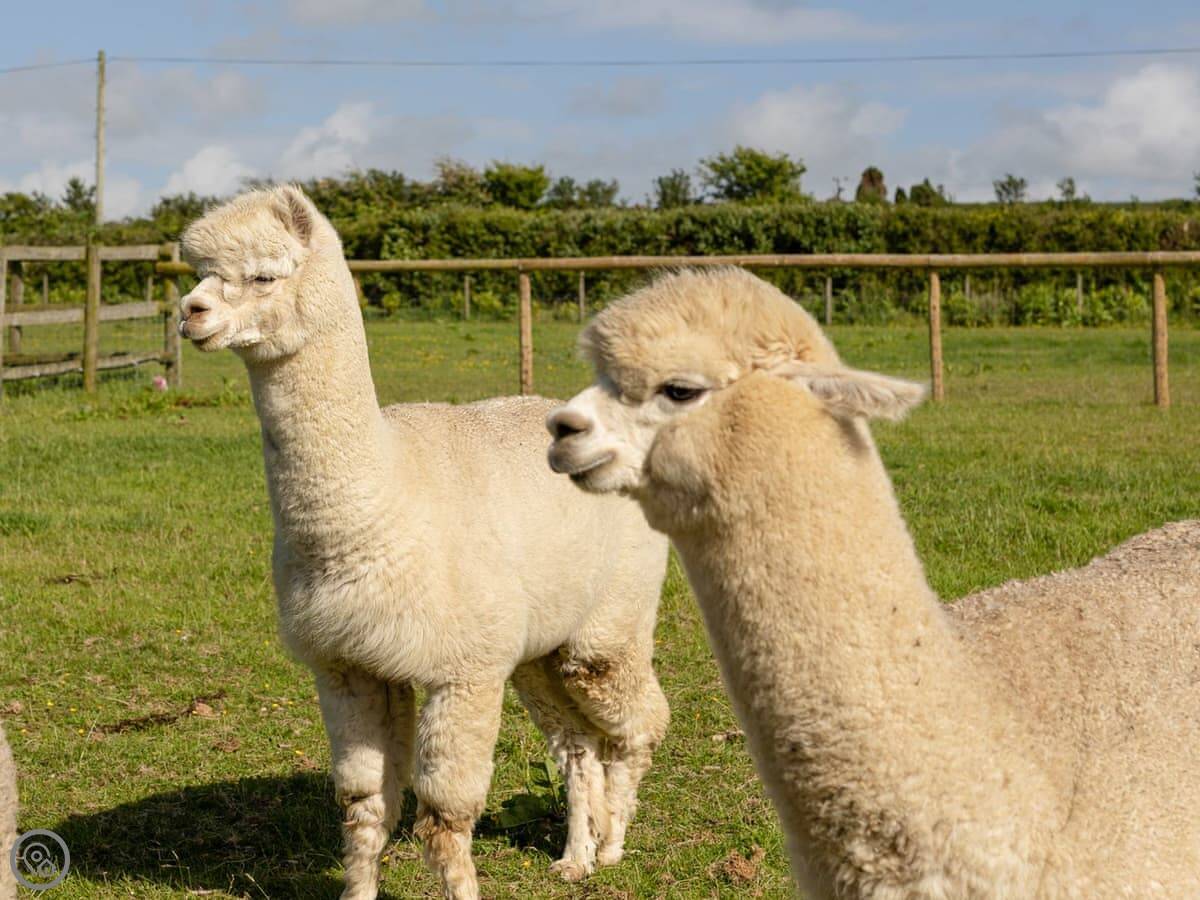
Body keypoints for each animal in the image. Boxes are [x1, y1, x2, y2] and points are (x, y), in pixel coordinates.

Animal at [177, 185, 670, 900]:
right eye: (198, 273)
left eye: (265, 276)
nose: (190, 313)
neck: (384, 505)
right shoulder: (351, 665)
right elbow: (364, 805)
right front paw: (359, 890)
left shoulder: (460, 670)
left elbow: (444, 815)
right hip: (535, 644)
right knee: (576, 741)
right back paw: (575, 857)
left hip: (609, 623)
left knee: (639, 721)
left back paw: (612, 846)